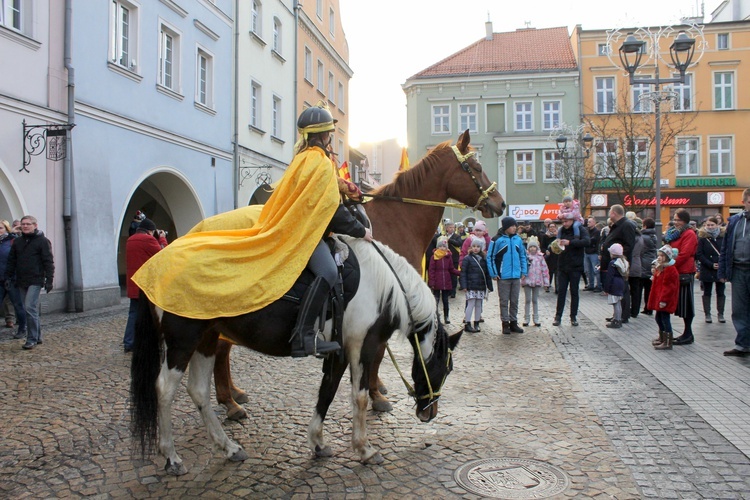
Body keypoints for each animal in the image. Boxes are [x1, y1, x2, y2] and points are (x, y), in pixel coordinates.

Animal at [131, 236, 462, 474]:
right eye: (445, 369)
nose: (430, 412)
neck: (384, 289)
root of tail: (156, 264)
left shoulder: (339, 351)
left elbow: (327, 392)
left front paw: (317, 442)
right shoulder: (362, 348)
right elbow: (359, 397)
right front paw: (364, 449)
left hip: (207, 339)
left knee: (199, 391)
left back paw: (229, 447)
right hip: (182, 341)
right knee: (164, 390)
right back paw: (171, 456)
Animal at [212, 129, 506, 418]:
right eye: (477, 167)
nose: (500, 203)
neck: (399, 218)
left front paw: (378, 388)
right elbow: (377, 354)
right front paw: (377, 395)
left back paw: (233, 393)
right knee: (221, 346)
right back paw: (229, 401)